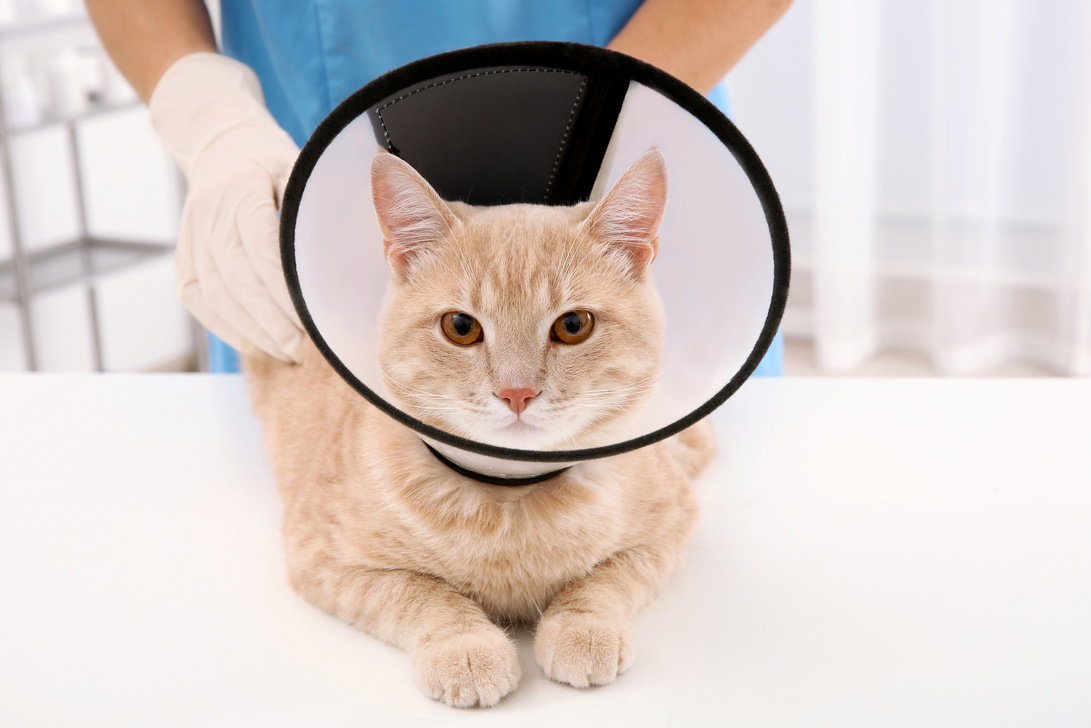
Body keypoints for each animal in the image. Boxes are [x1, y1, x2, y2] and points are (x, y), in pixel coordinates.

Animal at [244, 145, 715, 707]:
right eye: (461, 327)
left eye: (573, 325)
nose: (516, 393)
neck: (509, 500)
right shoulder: (325, 559)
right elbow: (421, 592)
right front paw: (466, 647)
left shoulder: (669, 529)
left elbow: (606, 579)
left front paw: (583, 626)